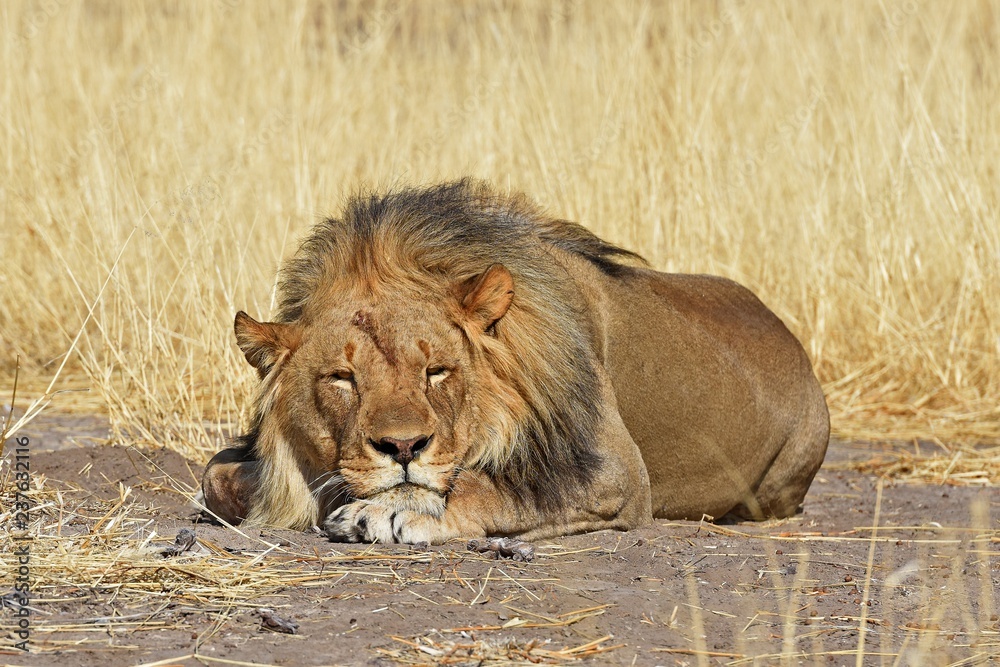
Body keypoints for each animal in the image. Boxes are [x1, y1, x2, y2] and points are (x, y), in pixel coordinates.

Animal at [200, 180, 830, 544]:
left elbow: (494, 486)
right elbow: (215, 475)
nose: (403, 448)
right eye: (342, 379)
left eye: (437, 371)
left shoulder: (615, 470)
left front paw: (389, 511)